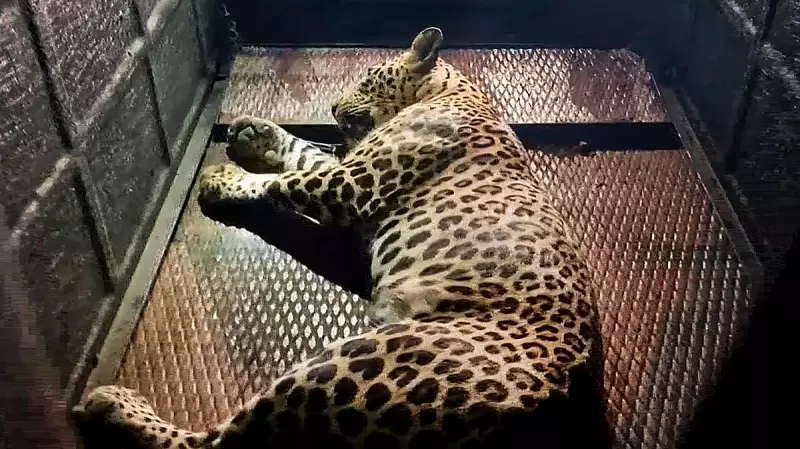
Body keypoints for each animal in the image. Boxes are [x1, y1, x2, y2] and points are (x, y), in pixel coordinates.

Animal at [74, 27, 607, 449]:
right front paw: (258, 134)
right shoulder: (351, 171)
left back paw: (114, 403)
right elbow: (304, 155)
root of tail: (542, 408)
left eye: (367, 76)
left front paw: (227, 179)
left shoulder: (355, 184)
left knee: (218, 443)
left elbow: (288, 181)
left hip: (356, 363)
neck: (452, 91)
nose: (331, 105)